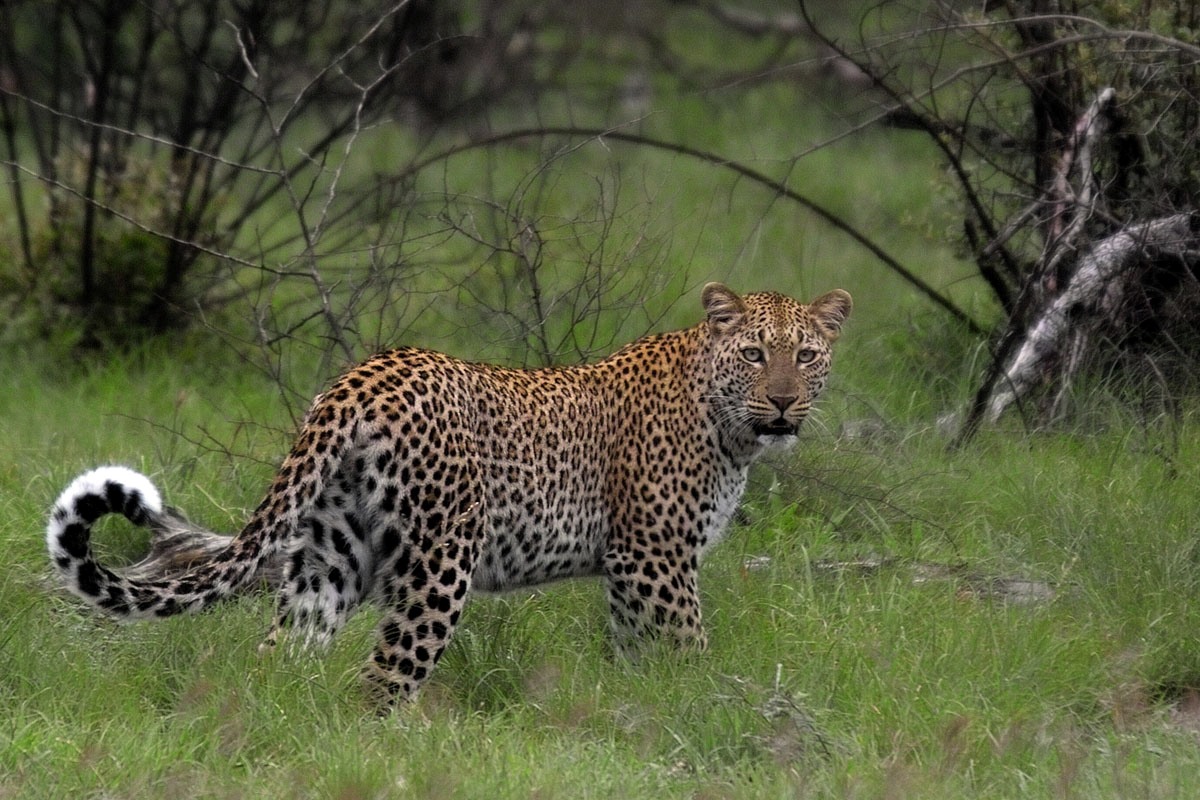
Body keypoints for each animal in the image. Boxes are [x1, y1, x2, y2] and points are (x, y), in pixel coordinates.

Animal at [46, 283, 851, 702]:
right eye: (756, 354)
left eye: (808, 355)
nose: (784, 404)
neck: (730, 429)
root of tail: (362, 374)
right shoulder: (656, 559)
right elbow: (688, 650)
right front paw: (711, 700)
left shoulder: (633, 571)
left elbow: (635, 657)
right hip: (440, 560)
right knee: (381, 678)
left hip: (331, 556)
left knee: (283, 657)